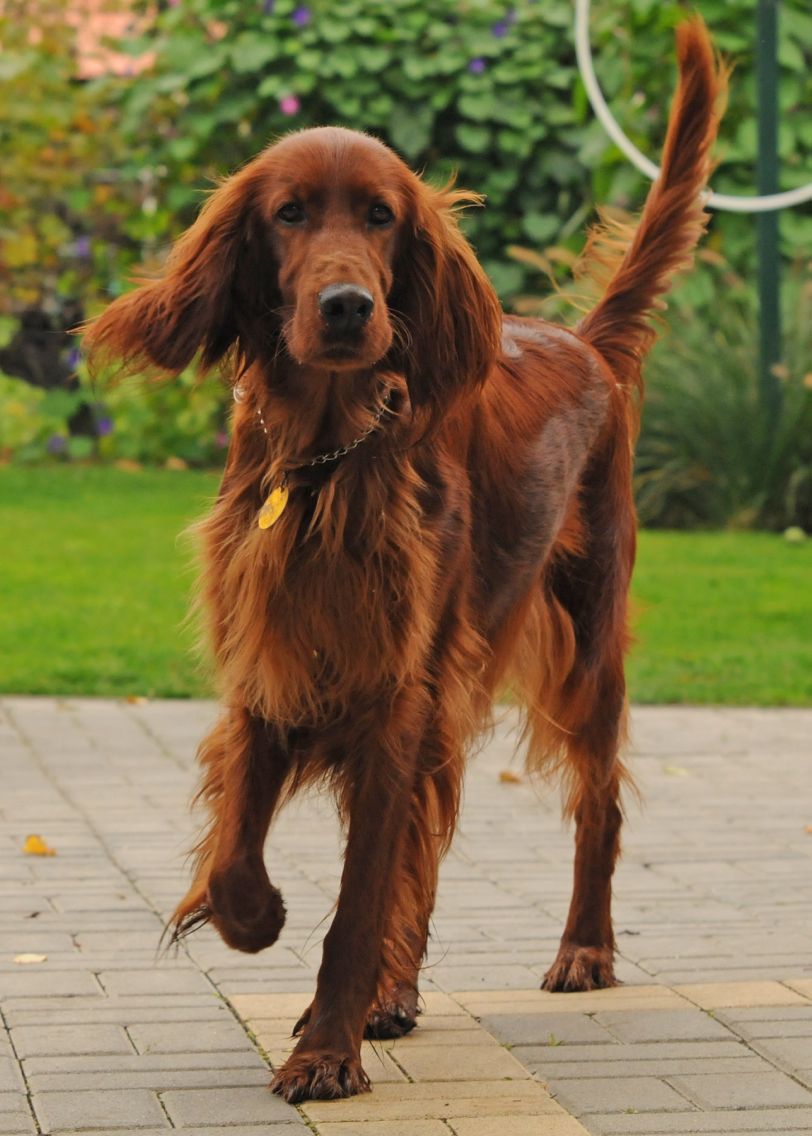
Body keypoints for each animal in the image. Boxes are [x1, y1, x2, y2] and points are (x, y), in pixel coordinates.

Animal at [87, 17, 722, 1099]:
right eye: (289, 213)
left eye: (382, 217)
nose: (347, 305)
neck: (325, 461)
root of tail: (587, 345)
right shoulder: (272, 664)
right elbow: (238, 845)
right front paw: (257, 922)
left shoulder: (393, 690)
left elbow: (357, 898)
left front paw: (322, 1051)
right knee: (428, 842)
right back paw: (396, 992)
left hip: (585, 644)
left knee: (595, 803)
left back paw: (582, 950)